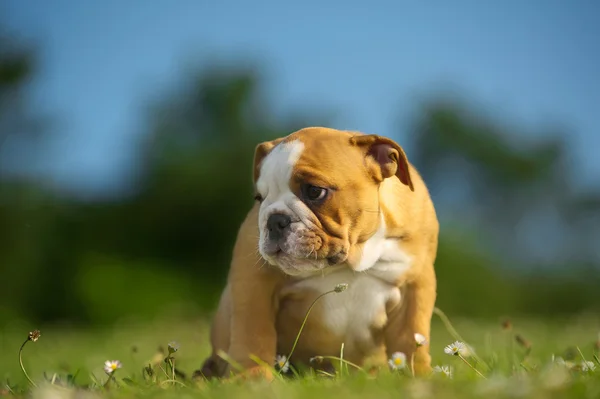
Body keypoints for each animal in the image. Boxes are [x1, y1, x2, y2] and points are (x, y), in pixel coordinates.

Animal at [196, 128, 436, 382]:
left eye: (314, 191)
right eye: (259, 198)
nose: (274, 220)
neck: (352, 259)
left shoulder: (415, 287)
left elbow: (412, 338)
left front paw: (419, 377)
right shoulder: (254, 283)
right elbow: (254, 333)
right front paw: (253, 377)